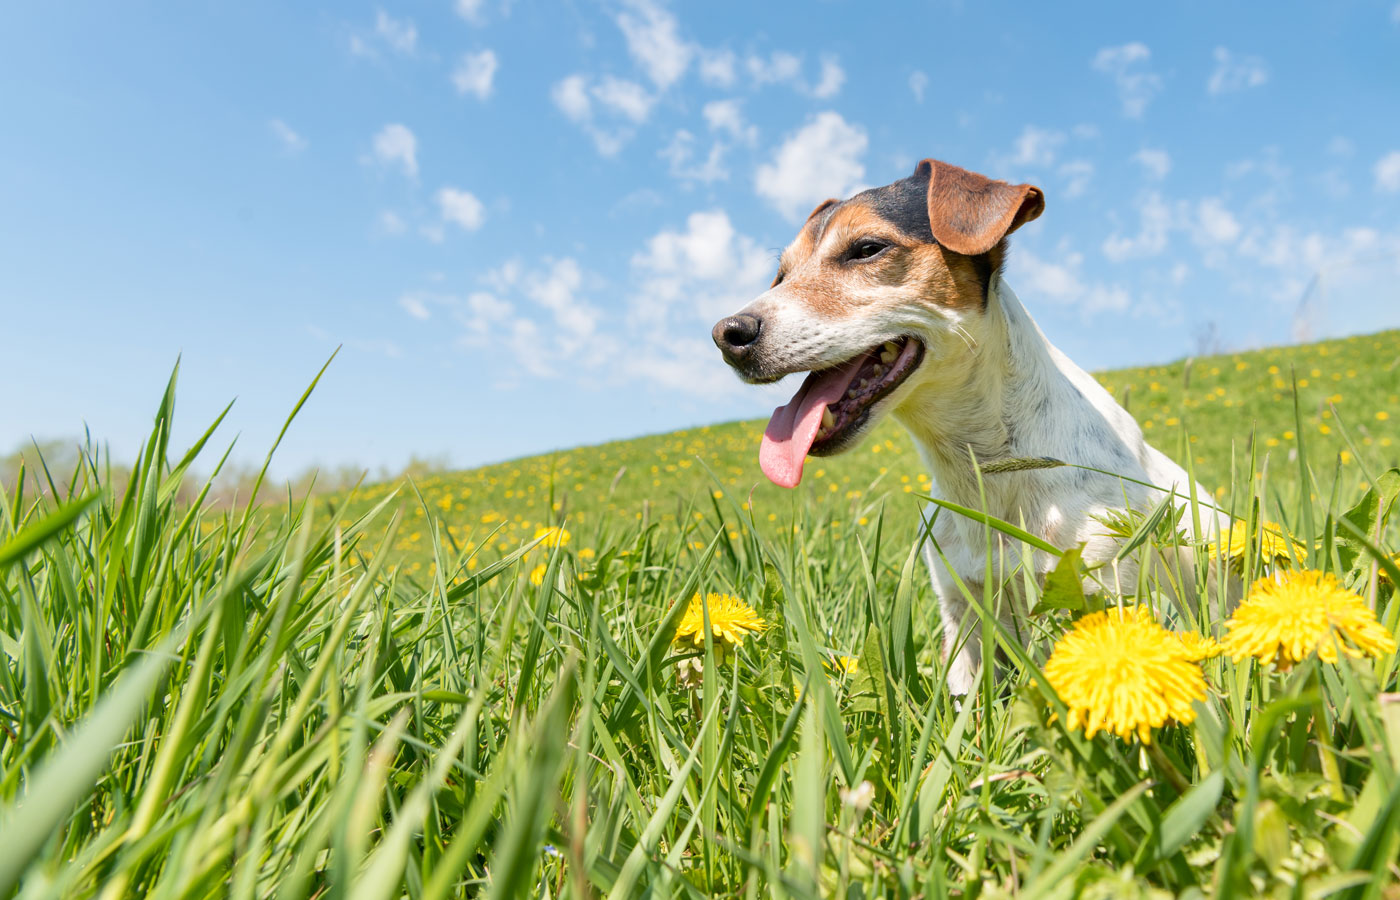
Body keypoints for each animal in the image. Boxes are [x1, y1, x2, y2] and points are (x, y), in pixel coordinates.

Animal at [716, 158, 1220, 694]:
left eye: (867, 249)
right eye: (780, 274)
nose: (728, 335)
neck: (982, 464)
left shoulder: (1105, 591)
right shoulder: (962, 618)